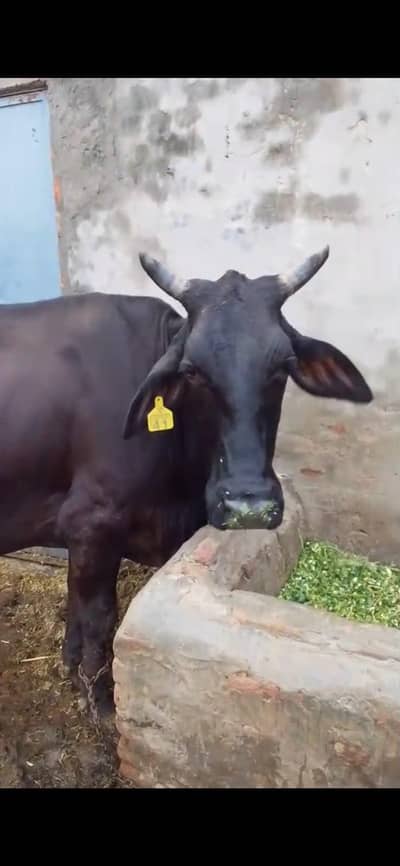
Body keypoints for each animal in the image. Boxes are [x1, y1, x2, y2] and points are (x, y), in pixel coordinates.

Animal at [0, 245, 372, 718]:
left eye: (284, 366)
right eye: (192, 370)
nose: (248, 505)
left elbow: (76, 603)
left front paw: (70, 666)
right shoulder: (93, 521)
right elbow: (98, 616)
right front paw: (100, 701)